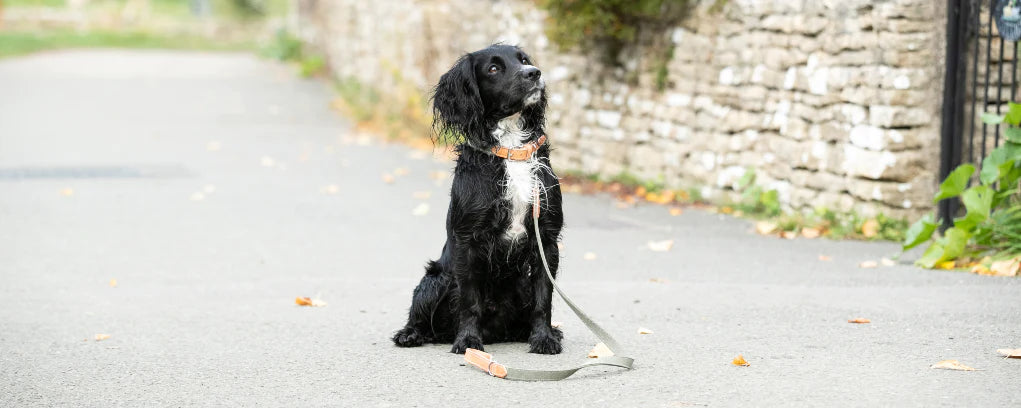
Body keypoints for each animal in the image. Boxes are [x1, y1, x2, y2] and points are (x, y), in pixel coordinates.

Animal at [392, 44, 567, 354]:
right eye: (493, 68)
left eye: (524, 60)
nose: (534, 73)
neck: (511, 150)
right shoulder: (467, 241)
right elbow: (469, 300)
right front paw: (468, 341)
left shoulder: (546, 238)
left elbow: (543, 298)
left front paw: (544, 338)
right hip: (435, 280)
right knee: (421, 313)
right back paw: (410, 334)